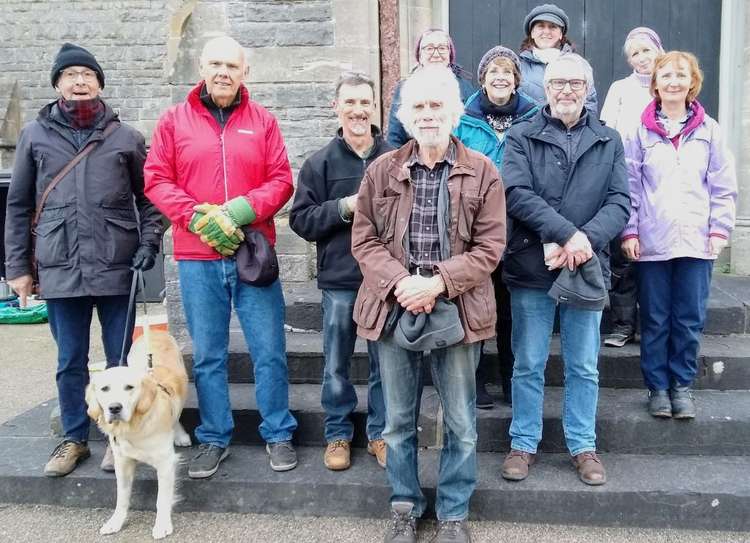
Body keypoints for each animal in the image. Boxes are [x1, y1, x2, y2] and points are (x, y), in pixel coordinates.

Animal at [85, 328, 192, 540]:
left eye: (129, 387)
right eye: (104, 389)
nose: (114, 408)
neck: (134, 427)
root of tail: (156, 331)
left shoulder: (166, 463)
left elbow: (162, 499)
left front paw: (162, 525)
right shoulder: (122, 462)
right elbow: (122, 497)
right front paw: (115, 522)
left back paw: (181, 436)